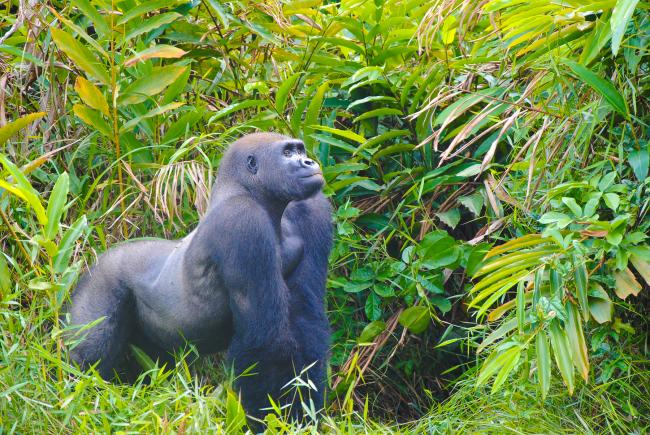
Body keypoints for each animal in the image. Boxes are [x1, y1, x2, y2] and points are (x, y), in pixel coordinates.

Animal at [66, 133, 332, 422]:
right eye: (287, 153)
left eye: (300, 150)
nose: (309, 162)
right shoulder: (242, 220)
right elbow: (266, 339)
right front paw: (277, 417)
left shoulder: (309, 208)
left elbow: (305, 319)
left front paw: (304, 411)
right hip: (100, 280)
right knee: (87, 358)